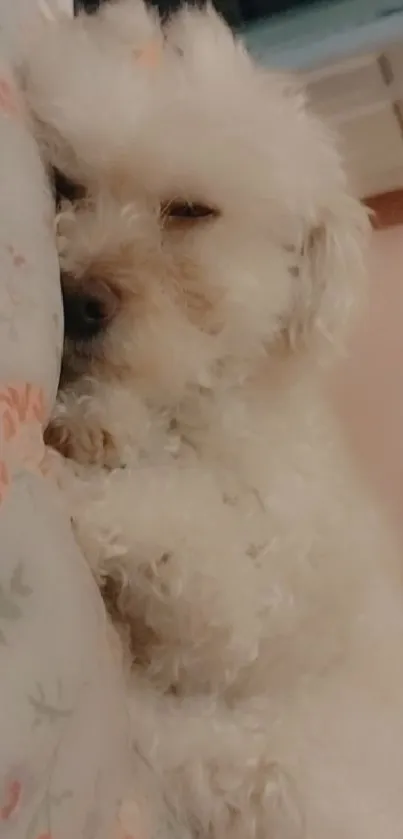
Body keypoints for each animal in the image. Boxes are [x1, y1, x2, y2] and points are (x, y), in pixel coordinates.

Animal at [21, 3, 403, 836]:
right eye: (66, 183)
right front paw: (98, 419)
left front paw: (74, 470)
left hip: (267, 766)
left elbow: (173, 519)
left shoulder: (233, 611)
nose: (78, 301)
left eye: (191, 211)